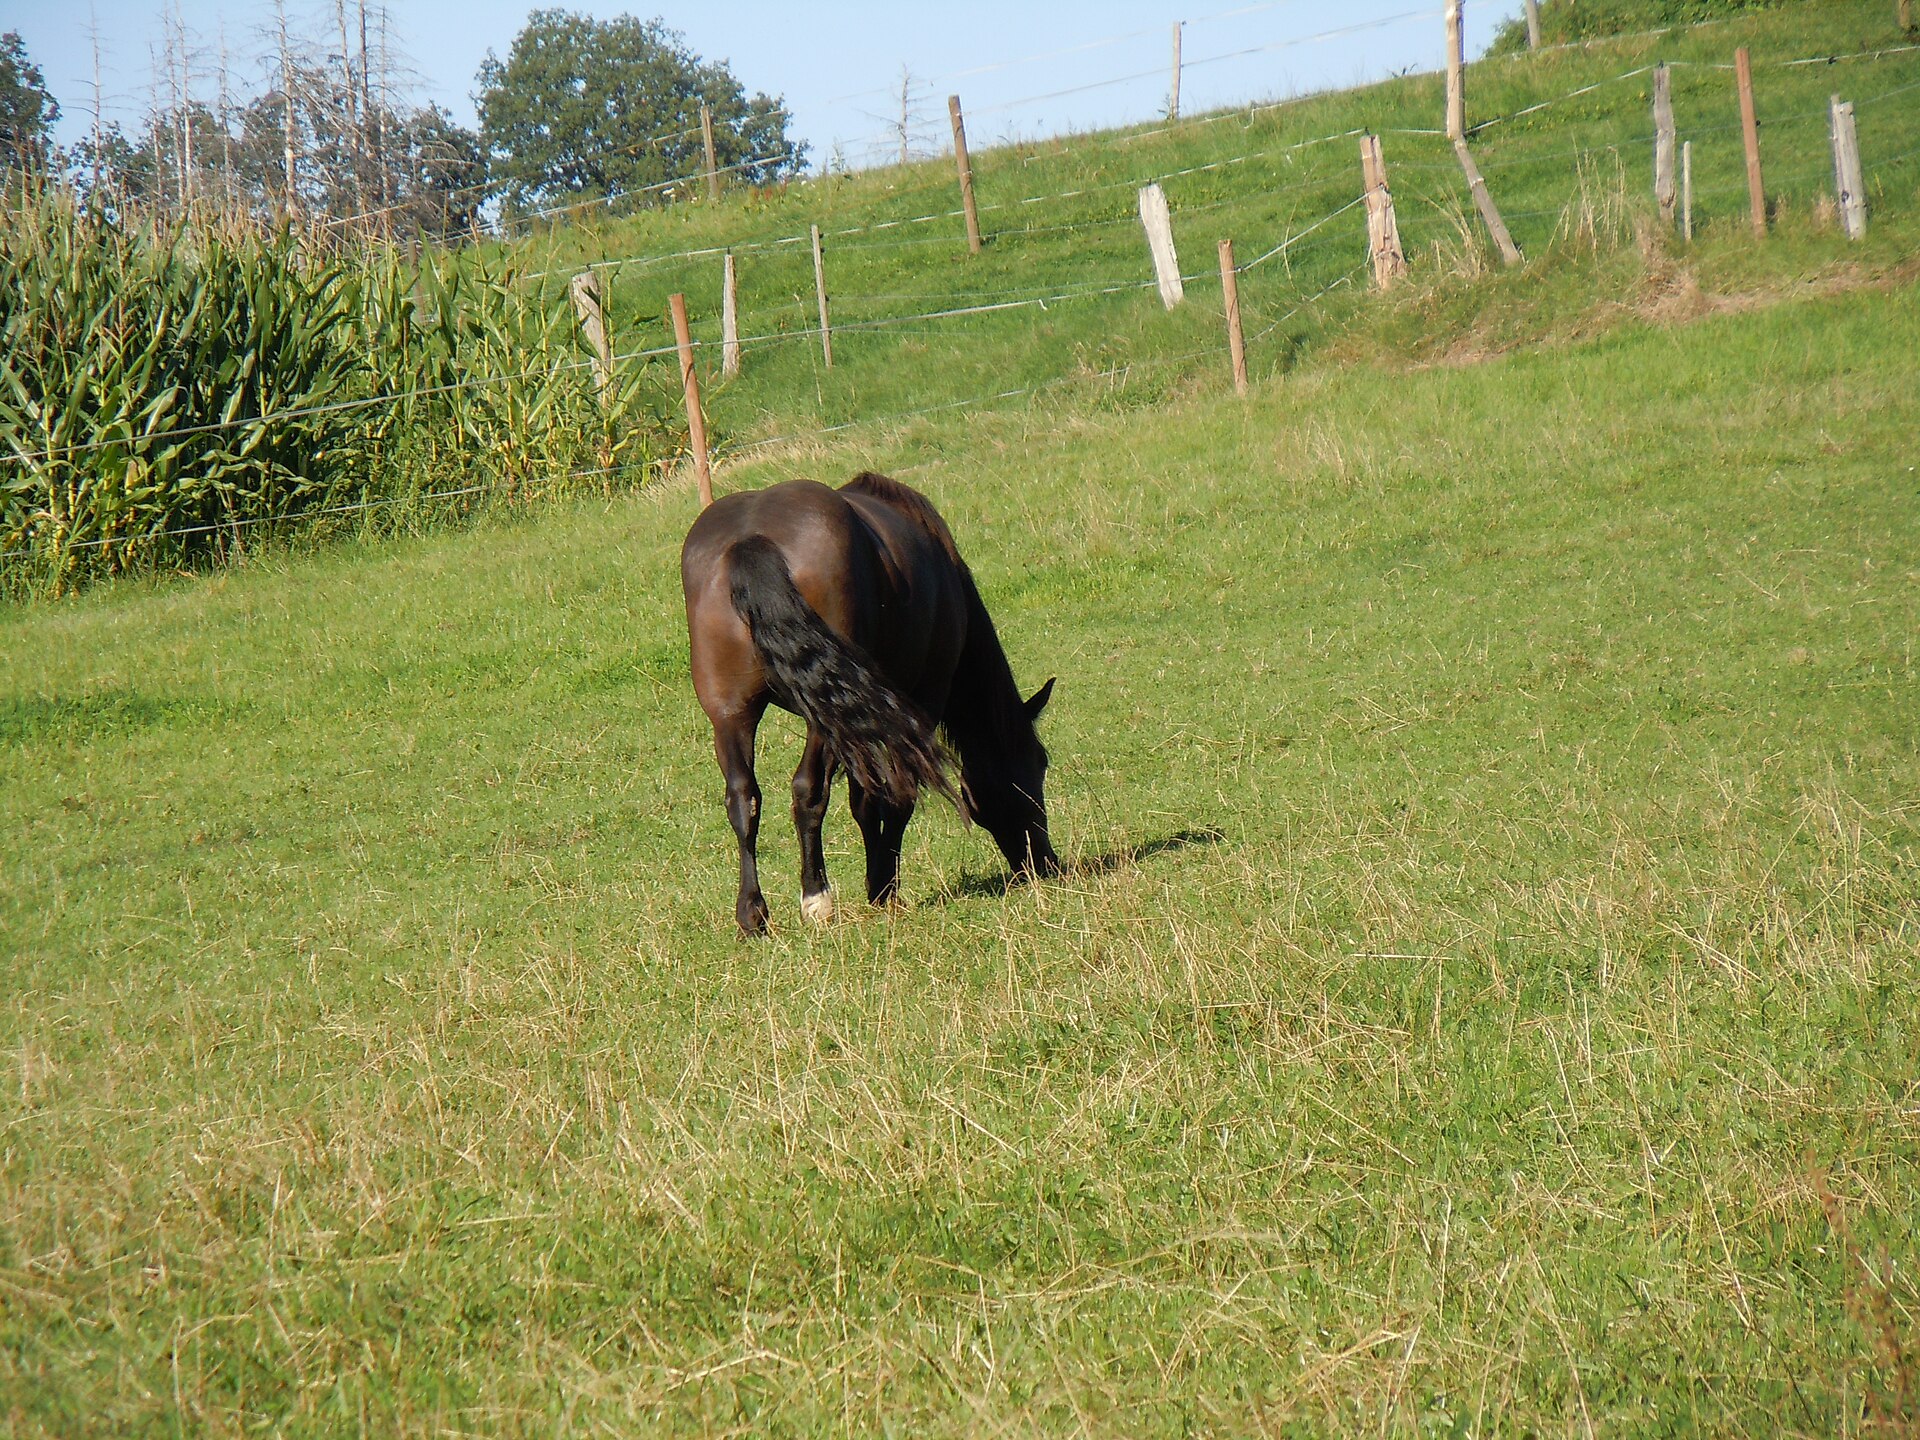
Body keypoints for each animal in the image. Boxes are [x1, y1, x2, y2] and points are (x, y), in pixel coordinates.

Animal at [680, 471, 1060, 935]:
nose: (1046, 863)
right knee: (807, 791)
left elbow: (865, 801)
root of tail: (750, 539)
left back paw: (753, 915)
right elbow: (897, 796)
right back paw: (816, 899)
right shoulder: (920, 702)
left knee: (743, 799)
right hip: (822, 716)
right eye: (1036, 765)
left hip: (731, 714)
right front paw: (882, 887)